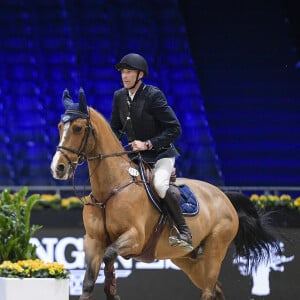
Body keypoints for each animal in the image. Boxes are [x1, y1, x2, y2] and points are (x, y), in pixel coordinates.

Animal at [51, 89, 278, 300]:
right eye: (60, 127)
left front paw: (112, 291)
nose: (58, 168)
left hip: (215, 250)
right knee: (216, 289)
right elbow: (89, 281)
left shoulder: (134, 237)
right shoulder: (93, 241)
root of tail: (223, 196)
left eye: (78, 128)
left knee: (209, 290)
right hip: (187, 258)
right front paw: (109, 289)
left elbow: (109, 257)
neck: (110, 190)